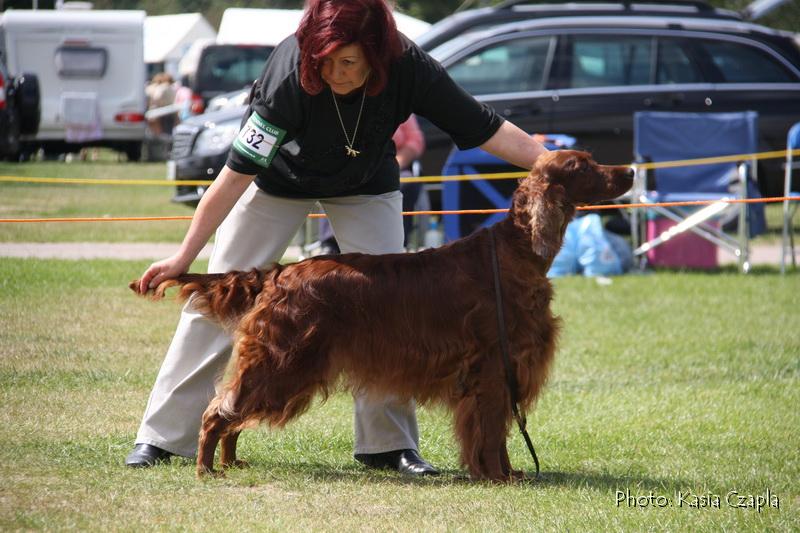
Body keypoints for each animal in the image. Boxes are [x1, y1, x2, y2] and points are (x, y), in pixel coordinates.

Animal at [131, 151, 632, 482]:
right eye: (584, 165)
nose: (628, 170)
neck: (516, 252)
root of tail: (281, 272)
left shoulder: (501, 369)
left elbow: (495, 431)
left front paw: (504, 474)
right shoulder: (493, 367)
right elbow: (490, 431)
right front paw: (498, 476)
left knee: (233, 411)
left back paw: (232, 462)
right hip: (283, 361)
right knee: (219, 409)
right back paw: (206, 469)